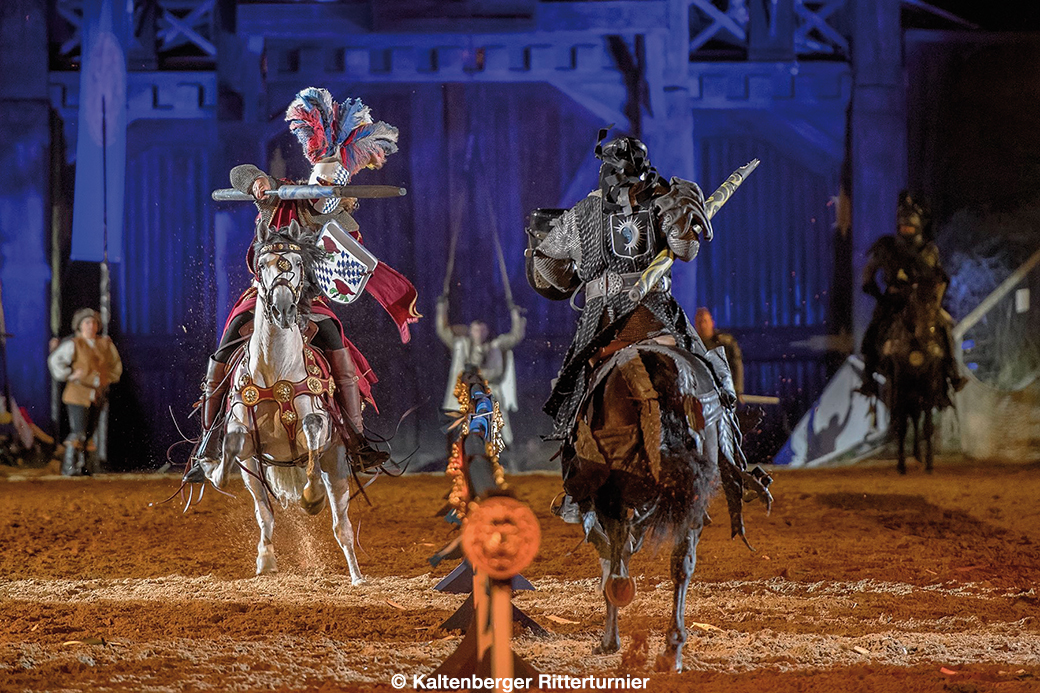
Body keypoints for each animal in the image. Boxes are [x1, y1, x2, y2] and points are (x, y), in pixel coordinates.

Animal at [202, 218, 366, 578]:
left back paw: (357, 575)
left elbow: (312, 432)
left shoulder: (320, 428)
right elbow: (233, 443)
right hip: (254, 470)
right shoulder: (247, 445)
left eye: (297, 264)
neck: (275, 371)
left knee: (342, 525)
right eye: (263, 264)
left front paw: (312, 497)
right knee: (265, 512)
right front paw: (214, 471)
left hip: (337, 462)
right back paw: (266, 559)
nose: (283, 307)